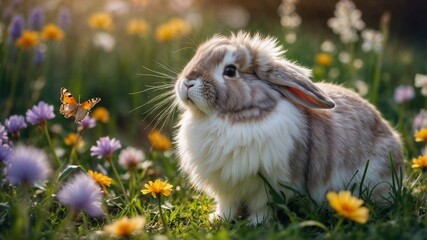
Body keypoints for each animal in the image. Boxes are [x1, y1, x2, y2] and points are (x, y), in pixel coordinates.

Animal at [173, 31, 404, 225]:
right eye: (198, 54)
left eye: (230, 71)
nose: (187, 82)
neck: (233, 118)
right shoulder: (227, 190)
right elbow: (227, 206)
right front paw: (217, 219)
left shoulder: (267, 186)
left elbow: (262, 207)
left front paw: (256, 223)